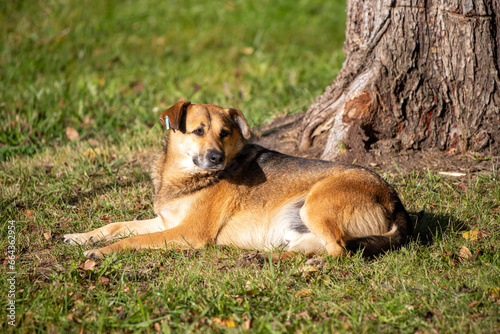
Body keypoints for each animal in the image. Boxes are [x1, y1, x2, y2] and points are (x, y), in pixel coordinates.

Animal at [62, 100, 412, 260]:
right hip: (301, 223)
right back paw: (265, 258)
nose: (217, 158)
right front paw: (81, 237)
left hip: (317, 203)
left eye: (225, 133)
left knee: (338, 251)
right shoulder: (165, 222)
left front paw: (103, 252)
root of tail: (395, 203)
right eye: (198, 131)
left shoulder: (189, 232)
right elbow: (116, 226)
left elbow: (132, 240)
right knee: (316, 247)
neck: (185, 176)